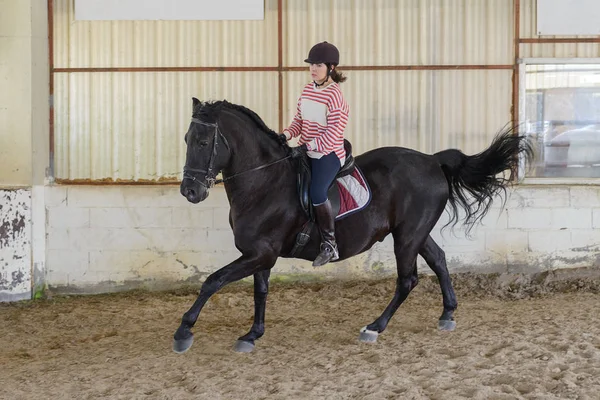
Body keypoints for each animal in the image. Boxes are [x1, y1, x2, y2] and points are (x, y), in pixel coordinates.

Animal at [173, 97, 536, 354]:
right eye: (186, 138)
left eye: (203, 143)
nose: (190, 191)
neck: (264, 182)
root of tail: (433, 160)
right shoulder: (260, 254)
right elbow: (259, 292)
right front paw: (252, 334)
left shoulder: (260, 253)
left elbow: (213, 281)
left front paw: (183, 331)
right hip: (415, 232)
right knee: (439, 260)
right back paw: (447, 314)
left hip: (407, 237)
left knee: (408, 279)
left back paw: (374, 327)